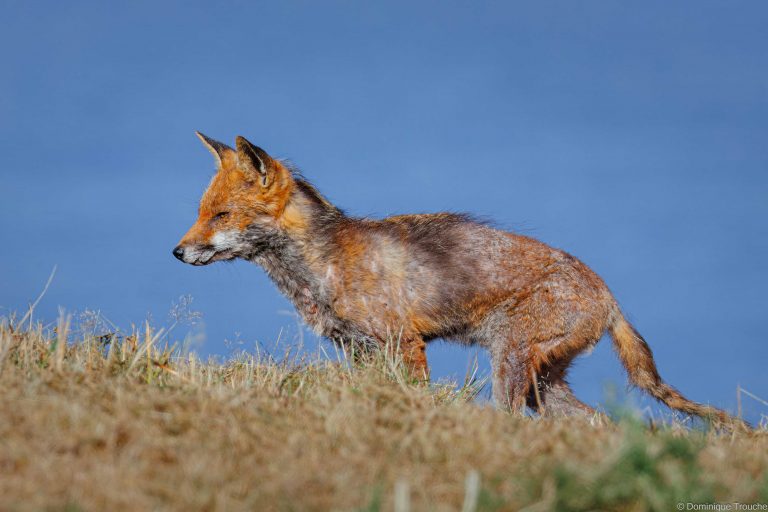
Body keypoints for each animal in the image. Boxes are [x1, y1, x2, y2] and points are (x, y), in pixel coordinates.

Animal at [174, 132, 747, 429]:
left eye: (221, 216)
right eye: (200, 213)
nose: (177, 252)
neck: (321, 268)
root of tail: (607, 293)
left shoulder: (404, 343)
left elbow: (416, 397)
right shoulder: (358, 350)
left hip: (511, 366)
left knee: (515, 419)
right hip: (543, 385)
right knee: (599, 422)